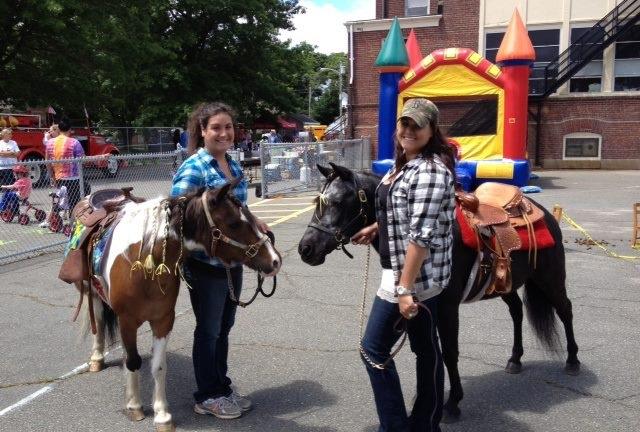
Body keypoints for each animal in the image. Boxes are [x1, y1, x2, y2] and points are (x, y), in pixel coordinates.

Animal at [80, 178, 280, 428]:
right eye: (234, 223)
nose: (275, 260)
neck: (144, 265)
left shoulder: (163, 320)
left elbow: (158, 366)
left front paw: (162, 414)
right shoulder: (127, 320)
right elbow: (133, 361)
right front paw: (135, 406)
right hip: (92, 293)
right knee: (97, 322)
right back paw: (96, 359)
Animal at [298, 163, 580, 422]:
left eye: (336, 202)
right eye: (317, 201)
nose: (305, 249)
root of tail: (545, 213)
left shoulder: (447, 307)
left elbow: (449, 353)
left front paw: (452, 403)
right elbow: (429, 352)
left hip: (551, 279)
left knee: (565, 310)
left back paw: (572, 361)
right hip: (505, 283)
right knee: (517, 312)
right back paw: (515, 359)